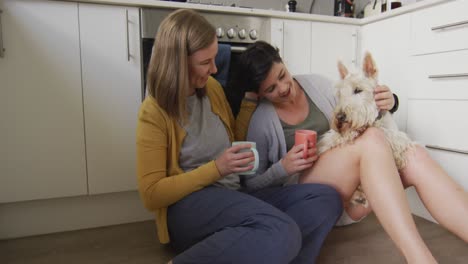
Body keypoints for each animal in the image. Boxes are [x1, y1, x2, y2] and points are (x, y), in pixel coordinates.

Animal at [318, 51, 414, 207]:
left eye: (358, 90)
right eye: (340, 94)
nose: (340, 117)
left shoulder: (394, 132)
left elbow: (393, 137)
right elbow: (331, 140)